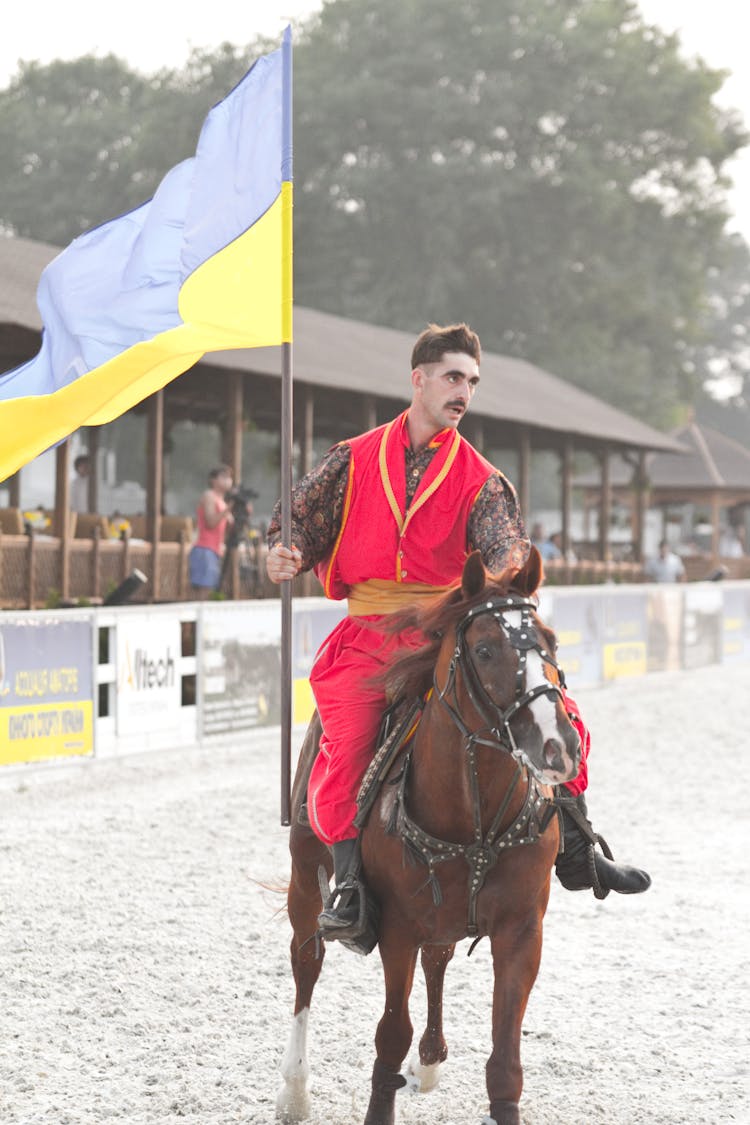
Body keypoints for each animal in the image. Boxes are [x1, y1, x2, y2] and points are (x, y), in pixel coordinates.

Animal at [275, 546, 580, 1125]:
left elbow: (504, 1061)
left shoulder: (521, 931)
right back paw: (294, 1091)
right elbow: (391, 1034)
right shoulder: (397, 927)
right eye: (484, 649)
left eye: (550, 643)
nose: (558, 746)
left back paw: (431, 1060)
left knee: (436, 961)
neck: (473, 820)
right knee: (306, 964)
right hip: (305, 877)